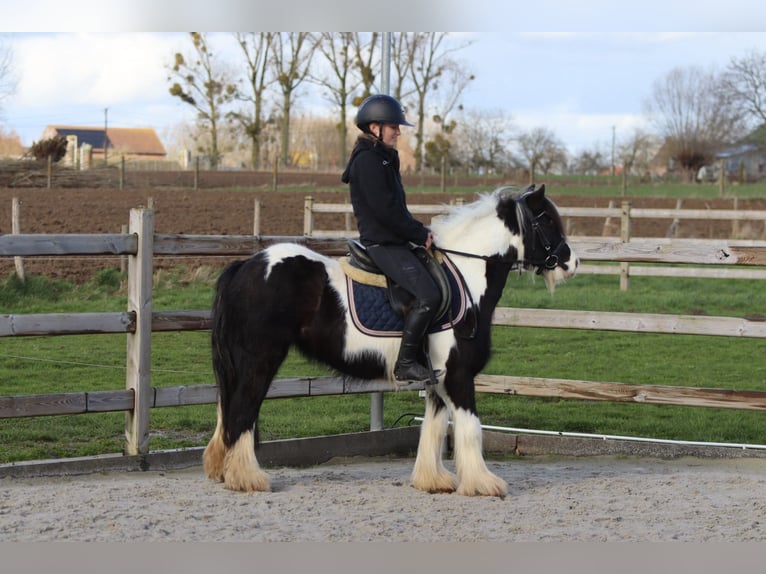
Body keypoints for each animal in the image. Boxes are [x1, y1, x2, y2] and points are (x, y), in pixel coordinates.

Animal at [203, 184, 578, 496]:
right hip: (259, 360)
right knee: (243, 411)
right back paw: (247, 478)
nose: (572, 262)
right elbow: (470, 426)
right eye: (545, 219)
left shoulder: (437, 377)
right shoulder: (458, 375)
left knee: (231, 410)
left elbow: (435, 427)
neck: (465, 277)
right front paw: (483, 483)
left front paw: (433, 480)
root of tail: (245, 267)